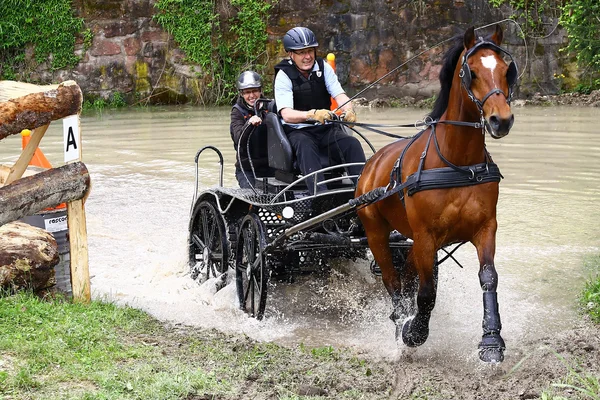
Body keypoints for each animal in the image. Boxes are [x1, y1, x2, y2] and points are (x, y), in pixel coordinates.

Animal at [356, 24, 516, 362]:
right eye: (472, 72)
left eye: (505, 70)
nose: (501, 120)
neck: (457, 163)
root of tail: (371, 166)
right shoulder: (426, 235)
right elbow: (427, 292)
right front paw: (414, 332)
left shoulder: (485, 228)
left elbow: (489, 278)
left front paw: (491, 340)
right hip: (377, 233)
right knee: (393, 283)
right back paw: (401, 324)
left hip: (413, 243)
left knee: (406, 280)